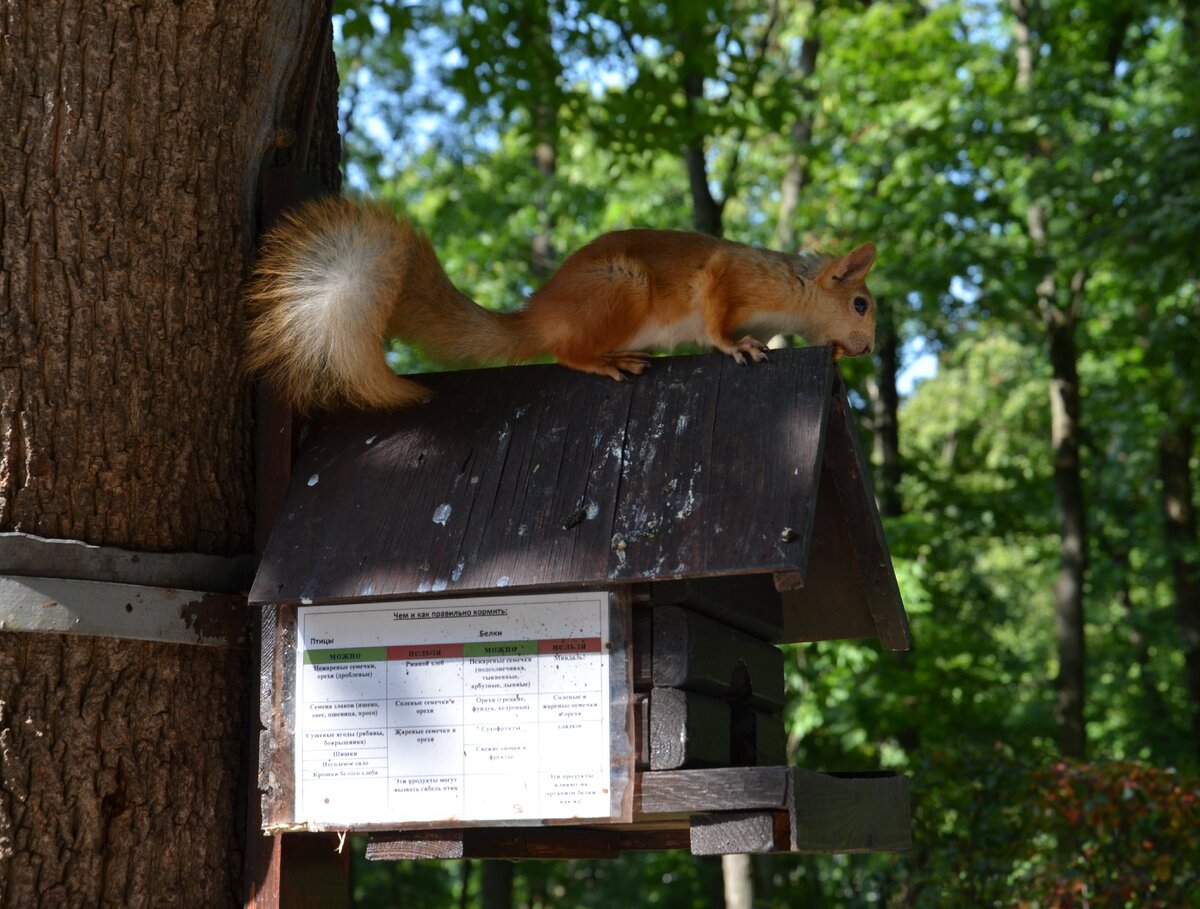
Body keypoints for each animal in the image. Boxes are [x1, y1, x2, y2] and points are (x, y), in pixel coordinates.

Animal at [246, 199, 883, 417]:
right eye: (860, 303)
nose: (869, 347)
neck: (791, 285)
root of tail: (538, 313)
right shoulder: (728, 277)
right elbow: (715, 318)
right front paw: (738, 346)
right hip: (621, 290)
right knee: (563, 352)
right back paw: (607, 361)